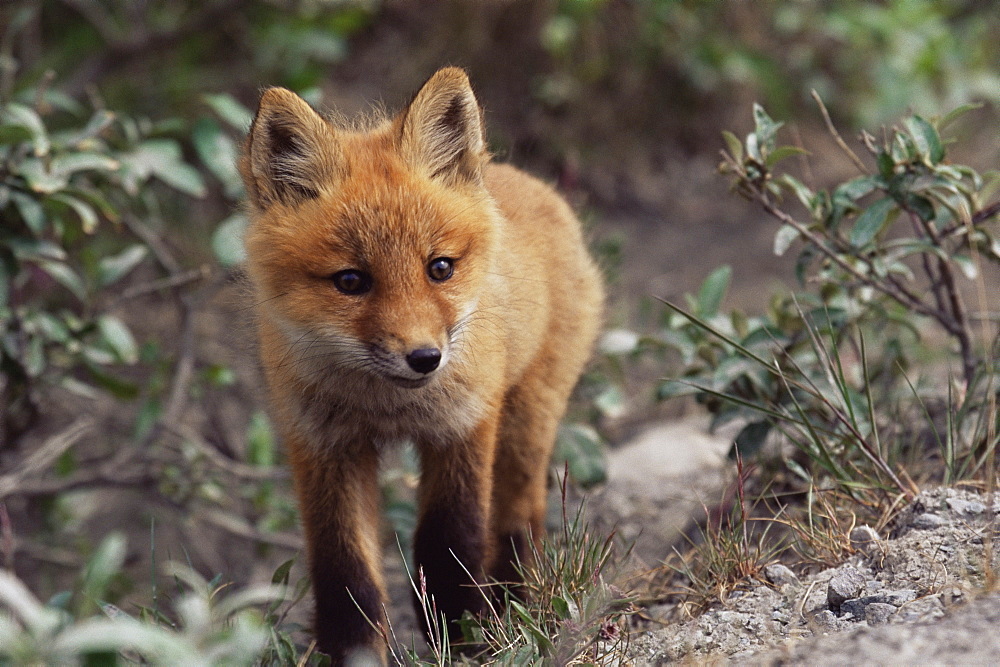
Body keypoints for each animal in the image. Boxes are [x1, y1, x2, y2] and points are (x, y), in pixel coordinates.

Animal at [238, 68, 604, 664]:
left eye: (440, 268)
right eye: (350, 281)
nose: (425, 358)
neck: (386, 407)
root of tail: (527, 181)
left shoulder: (462, 427)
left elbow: (449, 545)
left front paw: (464, 638)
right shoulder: (324, 446)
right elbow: (346, 571)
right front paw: (355, 652)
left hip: (525, 422)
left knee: (519, 515)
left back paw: (517, 603)